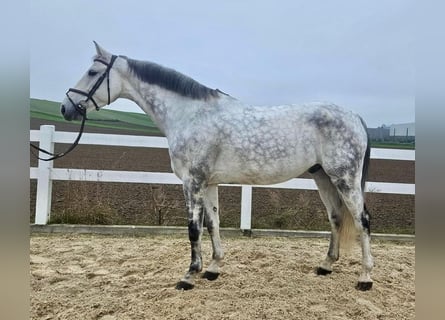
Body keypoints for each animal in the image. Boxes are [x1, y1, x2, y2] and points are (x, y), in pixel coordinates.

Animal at [60, 43, 372, 292]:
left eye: (92, 72)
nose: (65, 107)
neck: (190, 115)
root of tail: (355, 116)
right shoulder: (208, 183)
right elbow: (213, 224)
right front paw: (212, 268)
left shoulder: (192, 182)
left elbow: (193, 229)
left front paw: (189, 275)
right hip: (323, 177)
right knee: (336, 217)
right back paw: (326, 265)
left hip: (344, 178)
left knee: (362, 220)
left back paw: (365, 278)